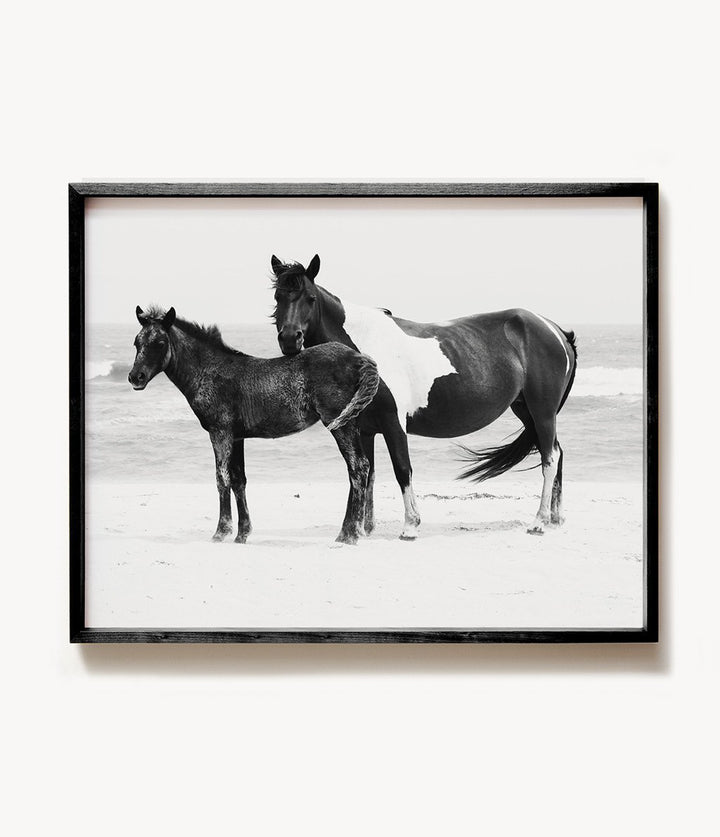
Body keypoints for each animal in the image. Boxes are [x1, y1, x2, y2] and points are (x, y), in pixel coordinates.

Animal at [128, 305, 379, 544]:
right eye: (136, 342)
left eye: (160, 343)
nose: (135, 377)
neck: (209, 371)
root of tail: (358, 358)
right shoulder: (237, 436)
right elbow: (239, 480)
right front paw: (242, 534)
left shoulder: (220, 433)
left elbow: (222, 478)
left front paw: (221, 532)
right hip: (350, 422)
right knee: (359, 468)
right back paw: (347, 531)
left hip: (340, 424)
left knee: (357, 467)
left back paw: (350, 535)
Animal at [270, 255, 578, 538]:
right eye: (278, 297)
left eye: (310, 298)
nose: (290, 339)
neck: (365, 348)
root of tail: (556, 330)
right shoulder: (365, 428)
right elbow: (368, 473)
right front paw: (365, 528)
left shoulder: (394, 423)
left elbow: (402, 469)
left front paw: (410, 526)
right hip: (526, 411)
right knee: (557, 453)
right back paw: (556, 518)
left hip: (542, 412)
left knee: (550, 457)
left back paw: (538, 522)